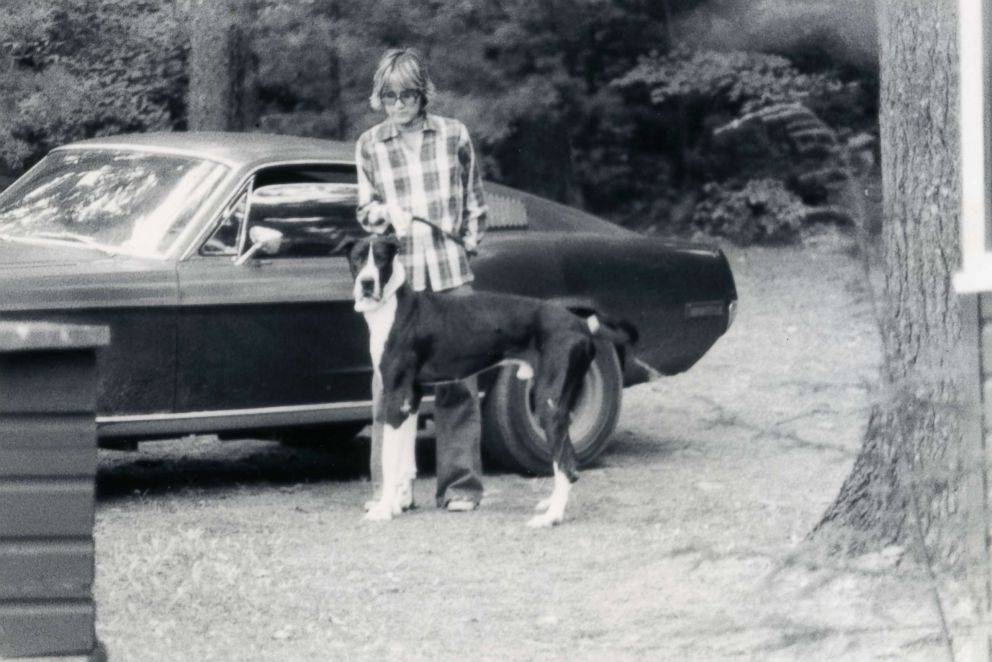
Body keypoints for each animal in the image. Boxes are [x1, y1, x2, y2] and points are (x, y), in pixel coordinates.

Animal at [344, 235, 632, 528]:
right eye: (357, 258)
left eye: (381, 259)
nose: (367, 283)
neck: (393, 306)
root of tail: (582, 325)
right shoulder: (409, 399)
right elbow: (404, 461)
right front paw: (398, 505)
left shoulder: (395, 397)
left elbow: (389, 461)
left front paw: (383, 509)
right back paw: (549, 505)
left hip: (548, 404)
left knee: (567, 465)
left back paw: (551, 517)